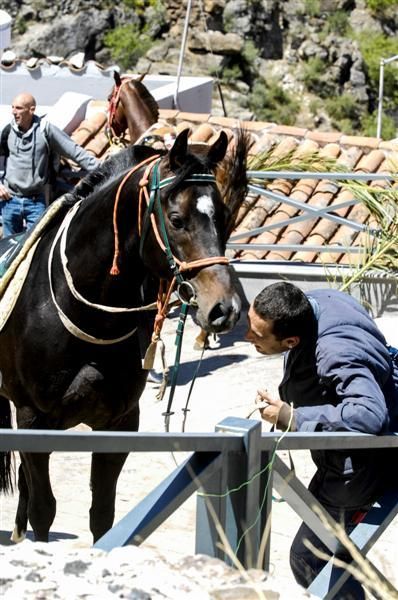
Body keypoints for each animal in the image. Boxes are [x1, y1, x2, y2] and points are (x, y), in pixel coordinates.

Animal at [0, 126, 247, 544]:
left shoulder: (119, 422)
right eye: (176, 219)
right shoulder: (33, 418)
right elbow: (43, 510)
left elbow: (103, 516)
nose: (223, 307)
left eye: (225, 217)